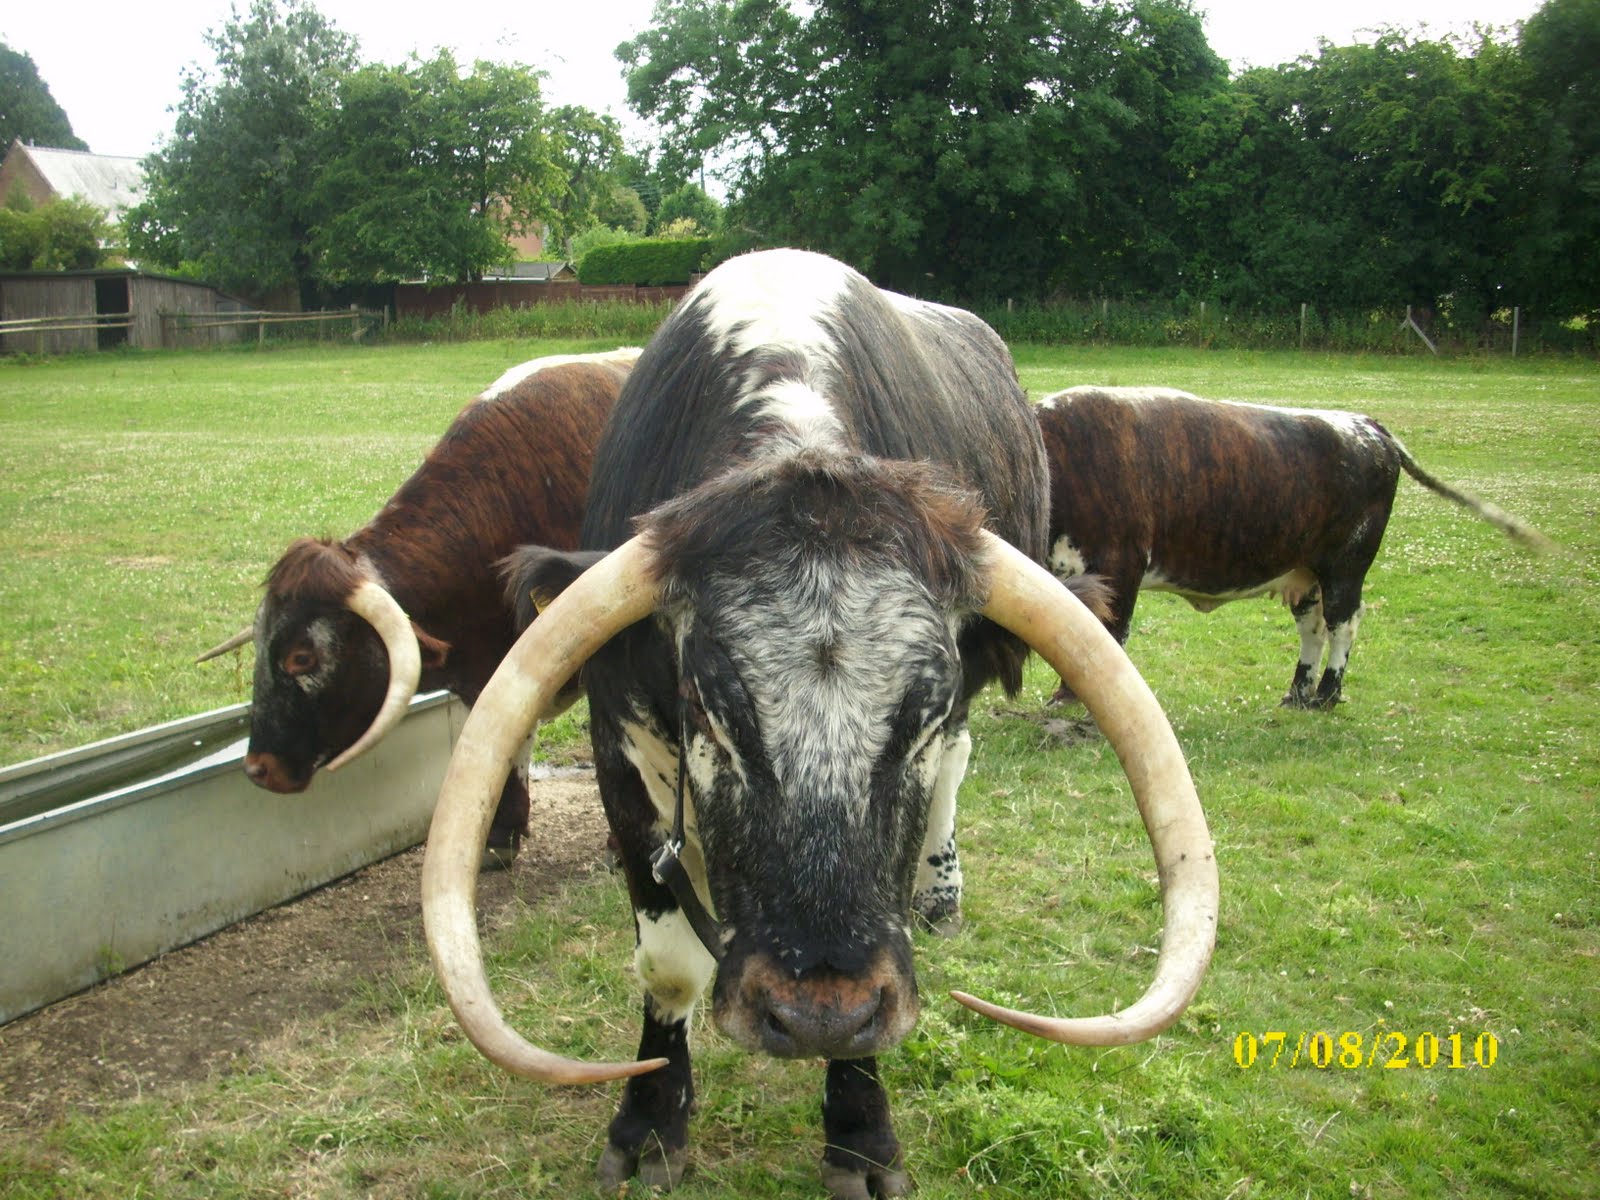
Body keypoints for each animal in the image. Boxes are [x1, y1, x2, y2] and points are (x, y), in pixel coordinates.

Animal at [419, 251, 1219, 1197]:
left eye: (919, 720)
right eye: (711, 713)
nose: (815, 1016)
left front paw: (862, 1137)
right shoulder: (621, 749)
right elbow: (667, 965)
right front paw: (649, 1124)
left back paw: (941, 894)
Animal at [1035, 386, 1553, 709]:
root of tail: (1365, 425)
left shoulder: (1118, 564)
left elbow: (1104, 633)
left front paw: (1069, 697)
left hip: (1347, 567)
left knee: (1343, 625)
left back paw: (1325, 695)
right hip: (1307, 575)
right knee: (1314, 629)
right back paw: (1298, 693)